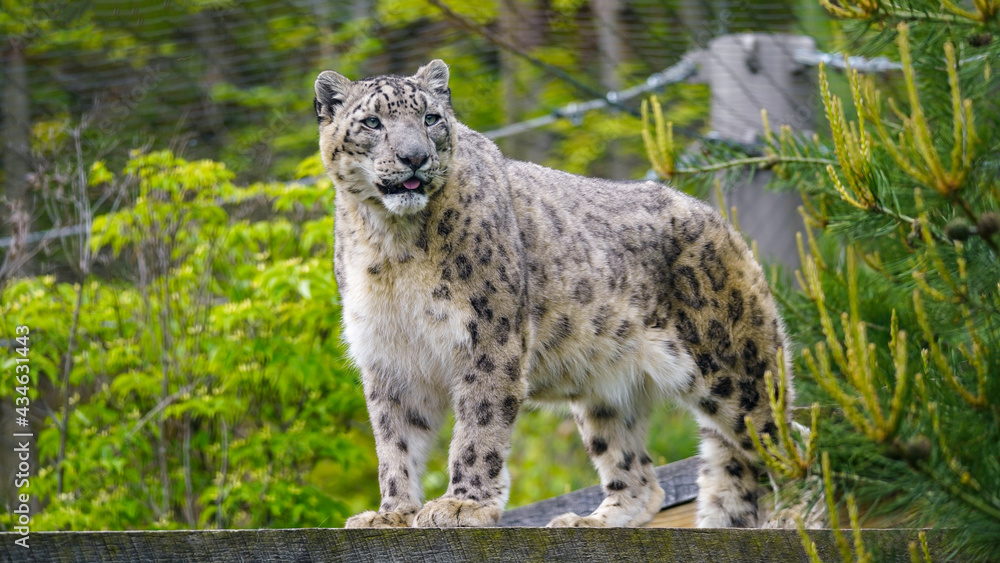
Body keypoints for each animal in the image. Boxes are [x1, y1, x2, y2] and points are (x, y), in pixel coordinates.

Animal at [314, 59, 795, 529]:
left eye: (431, 118)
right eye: (373, 122)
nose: (414, 157)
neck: (392, 246)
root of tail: (724, 224)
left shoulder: (489, 336)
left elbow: (478, 426)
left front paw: (462, 505)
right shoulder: (389, 356)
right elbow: (394, 441)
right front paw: (391, 513)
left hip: (736, 370)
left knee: (786, 443)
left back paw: (794, 514)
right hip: (607, 396)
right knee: (639, 473)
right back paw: (592, 521)